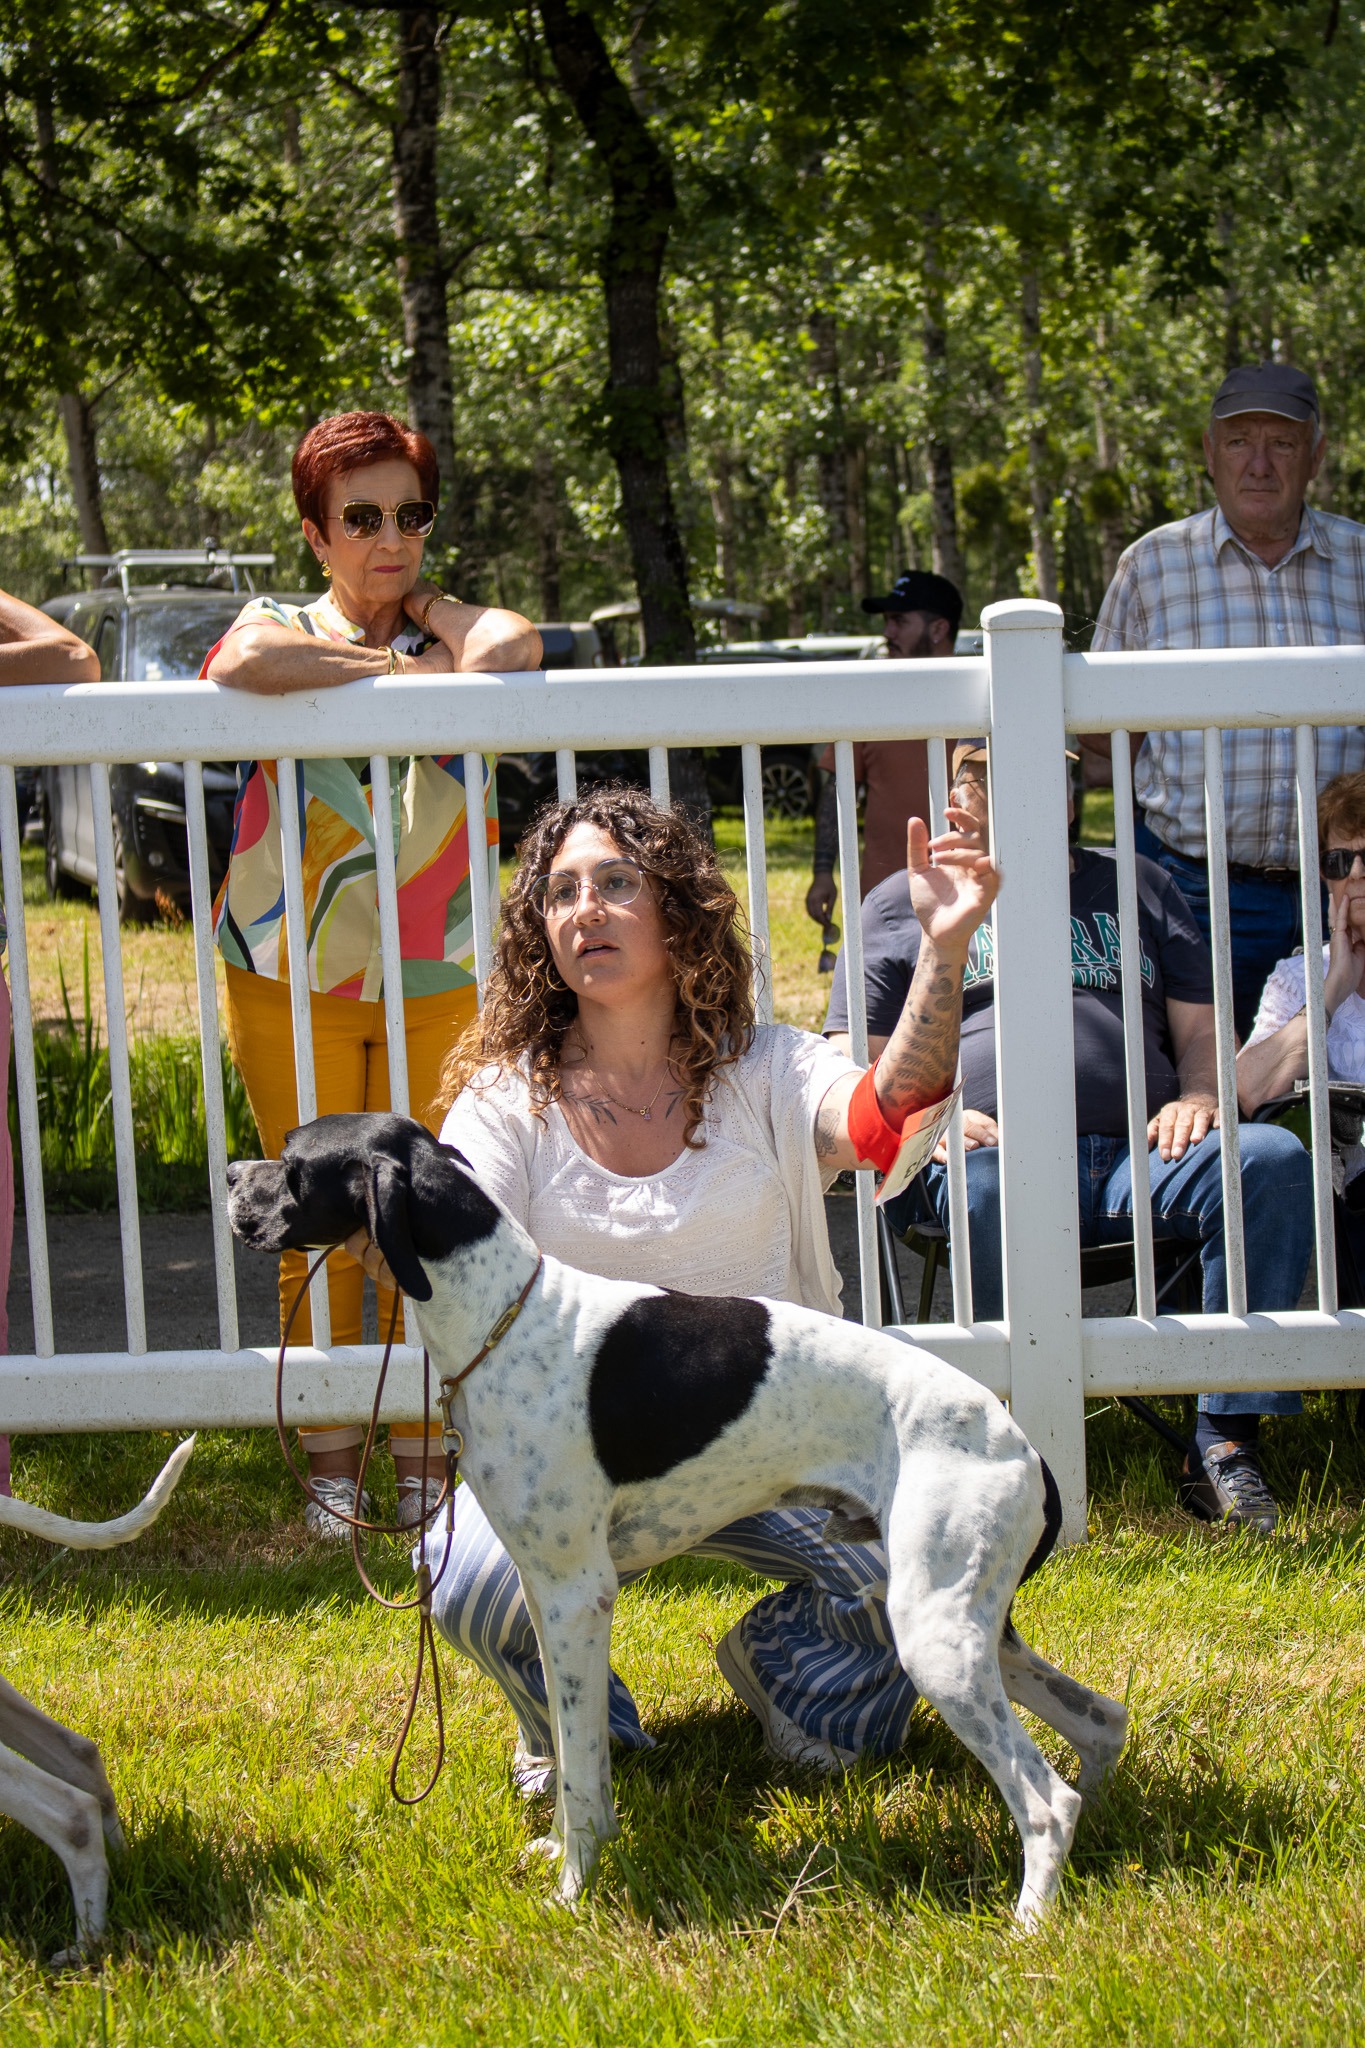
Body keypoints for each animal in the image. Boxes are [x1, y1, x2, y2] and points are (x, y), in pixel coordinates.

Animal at [227, 1112, 1127, 1928]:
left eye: (293, 1161)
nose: (232, 1175)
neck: (503, 1317)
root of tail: (1020, 1445)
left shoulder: (576, 1596)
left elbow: (583, 1767)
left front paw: (573, 1892)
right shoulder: (546, 1598)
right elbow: (570, 1751)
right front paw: (563, 1852)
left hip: (934, 1635)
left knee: (1046, 1800)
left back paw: (1027, 1924)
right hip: (973, 1627)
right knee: (1100, 1723)